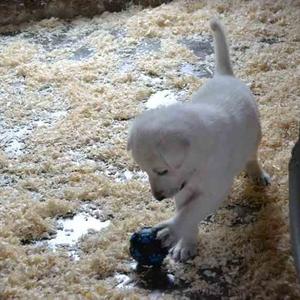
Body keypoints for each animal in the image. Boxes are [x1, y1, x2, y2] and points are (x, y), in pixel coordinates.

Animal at [126, 19, 270, 262]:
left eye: (162, 170)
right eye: (145, 171)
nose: (157, 198)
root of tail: (224, 76)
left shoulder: (214, 187)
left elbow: (192, 212)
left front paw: (171, 230)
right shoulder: (182, 189)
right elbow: (187, 212)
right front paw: (186, 244)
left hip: (254, 136)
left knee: (252, 157)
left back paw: (258, 174)